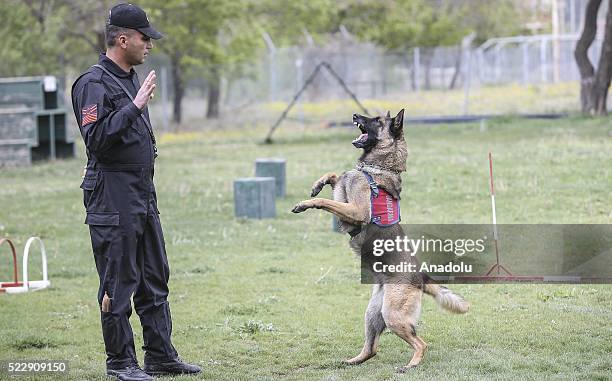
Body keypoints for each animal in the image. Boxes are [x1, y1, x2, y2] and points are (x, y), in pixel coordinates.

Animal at [292, 109, 468, 372]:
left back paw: (410, 365)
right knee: (372, 348)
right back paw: (351, 361)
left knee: (420, 343)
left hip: (392, 316)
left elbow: (325, 201)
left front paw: (305, 203)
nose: (355, 114)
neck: (375, 167)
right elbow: (335, 176)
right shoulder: (344, 199)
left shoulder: (356, 212)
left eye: (376, 120)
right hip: (373, 314)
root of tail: (421, 277)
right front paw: (317, 184)